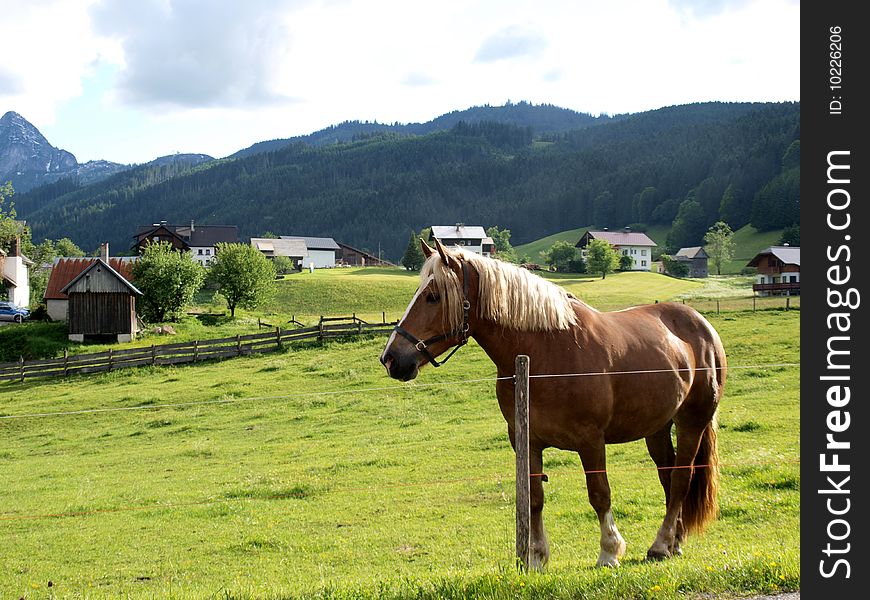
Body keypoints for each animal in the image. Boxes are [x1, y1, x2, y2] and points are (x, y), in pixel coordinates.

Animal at [382, 239, 728, 568]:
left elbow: (599, 494)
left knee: (682, 478)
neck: (547, 351)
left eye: (433, 296)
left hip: (691, 422)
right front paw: (536, 557)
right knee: (667, 476)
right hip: (656, 428)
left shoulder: (591, 441)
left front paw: (609, 551)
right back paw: (674, 542)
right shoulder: (528, 442)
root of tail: (702, 327)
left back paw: (660, 544)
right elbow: (534, 497)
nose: (391, 358)